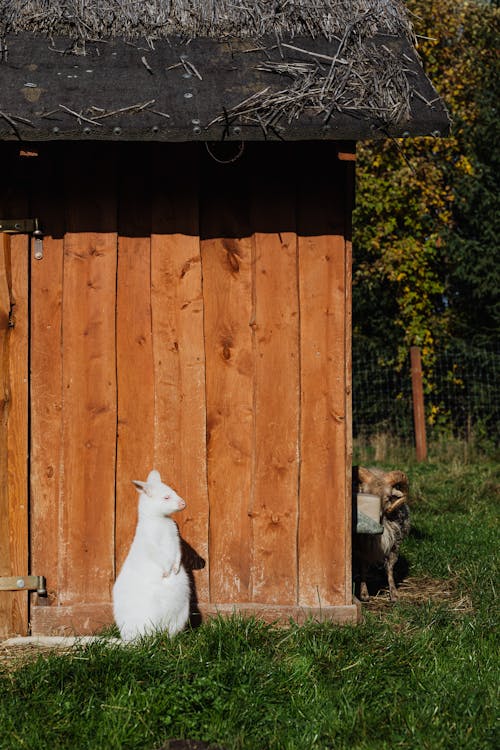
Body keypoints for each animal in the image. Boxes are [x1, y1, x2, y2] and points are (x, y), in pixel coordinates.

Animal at [112, 470, 190, 640]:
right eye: (166, 497)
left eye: (174, 491)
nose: (184, 503)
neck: (160, 519)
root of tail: (127, 640)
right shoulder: (151, 543)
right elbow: (159, 556)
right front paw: (167, 572)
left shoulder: (175, 538)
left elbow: (177, 553)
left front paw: (175, 569)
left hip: (181, 613)